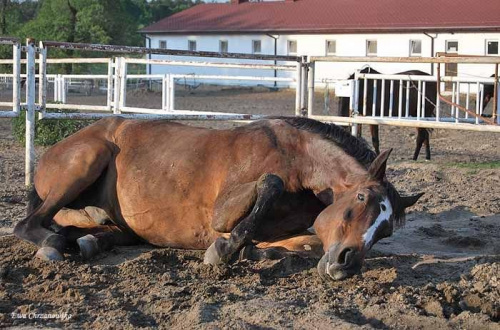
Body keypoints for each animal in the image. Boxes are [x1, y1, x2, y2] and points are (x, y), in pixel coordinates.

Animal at [13, 116, 424, 282]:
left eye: (386, 231)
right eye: (360, 197)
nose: (345, 264)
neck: (298, 161)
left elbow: (303, 245)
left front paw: (252, 251)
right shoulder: (222, 207)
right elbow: (269, 185)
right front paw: (225, 249)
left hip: (121, 222)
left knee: (100, 231)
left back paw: (85, 241)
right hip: (87, 158)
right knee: (29, 224)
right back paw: (54, 243)